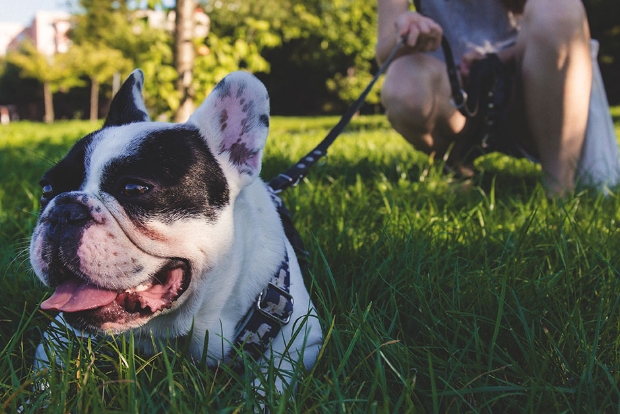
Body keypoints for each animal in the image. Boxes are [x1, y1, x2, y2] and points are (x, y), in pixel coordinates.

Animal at [29, 69, 322, 390]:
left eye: (134, 188)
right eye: (47, 190)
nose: (64, 211)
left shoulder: (301, 343)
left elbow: (269, 382)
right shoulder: (57, 335)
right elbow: (42, 379)